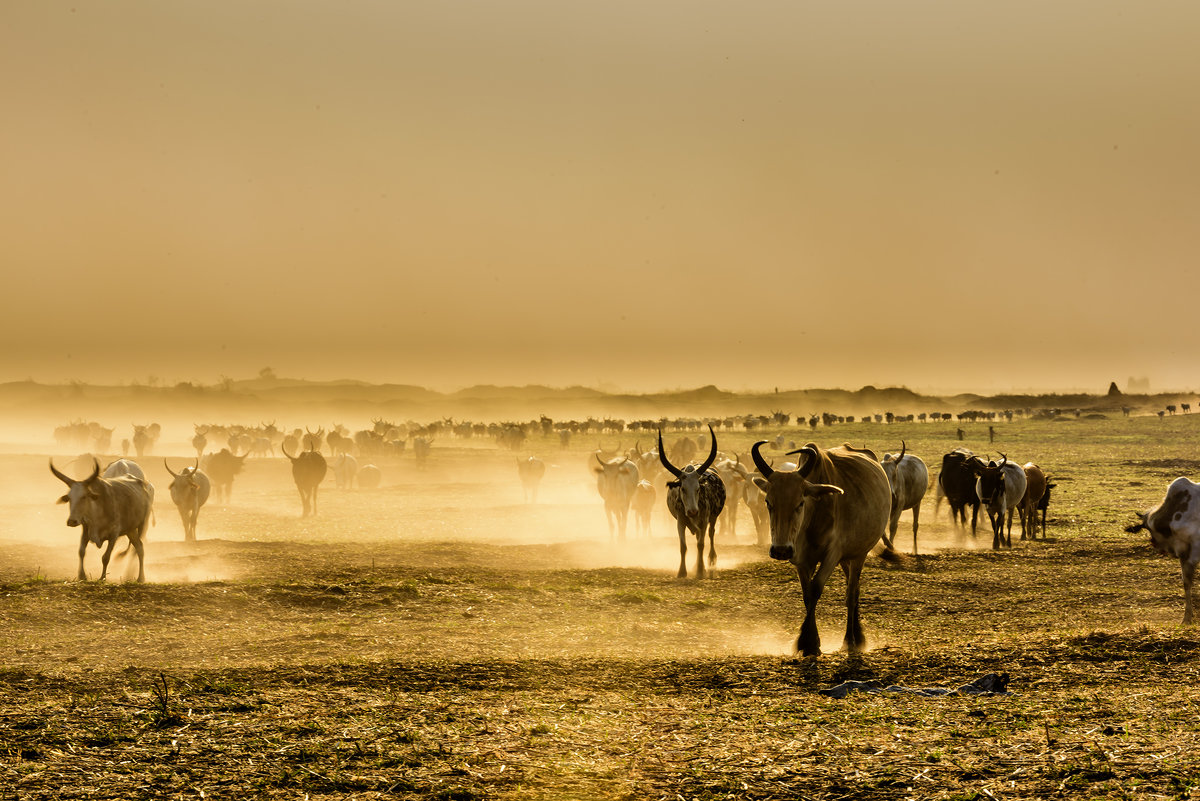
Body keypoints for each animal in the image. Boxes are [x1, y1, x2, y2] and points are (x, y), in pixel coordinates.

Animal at [662, 422, 724, 577]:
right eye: (682, 488)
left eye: (698, 488)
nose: (692, 511)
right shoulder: (680, 521)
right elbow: (683, 547)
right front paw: (682, 571)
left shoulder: (704, 519)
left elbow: (701, 544)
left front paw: (701, 571)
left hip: (713, 517)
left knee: (711, 534)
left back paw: (711, 560)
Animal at [744, 438, 897, 657]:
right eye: (768, 502)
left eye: (800, 502)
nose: (781, 550)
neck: (812, 519)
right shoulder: (801, 560)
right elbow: (807, 594)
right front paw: (809, 642)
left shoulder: (832, 555)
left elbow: (816, 588)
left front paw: (808, 642)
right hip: (846, 559)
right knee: (854, 589)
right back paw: (857, 636)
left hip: (859, 554)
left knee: (852, 592)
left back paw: (851, 640)